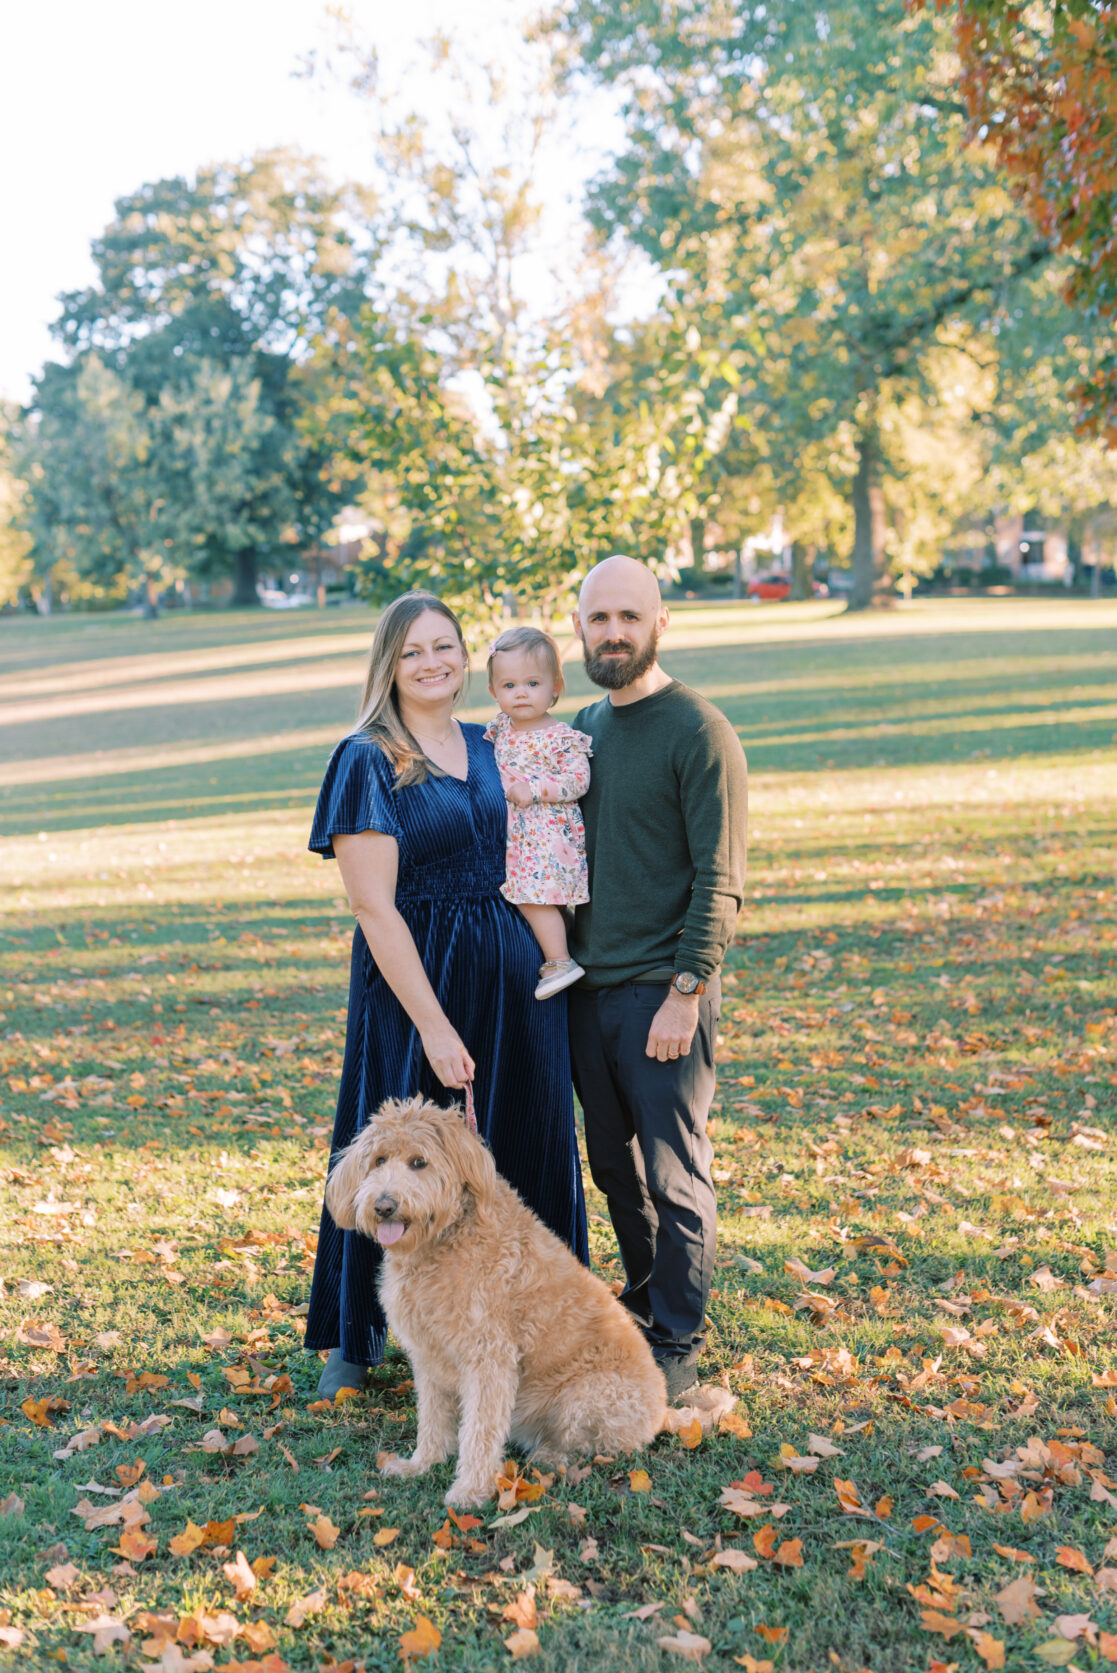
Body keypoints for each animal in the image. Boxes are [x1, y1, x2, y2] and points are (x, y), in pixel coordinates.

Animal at [327, 1097, 668, 1505]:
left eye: (419, 1162)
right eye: (379, 1160)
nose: (383, 1206)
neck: (445, 1239)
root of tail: (664, 1412)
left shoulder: (488, 1358)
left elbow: (480, 1429)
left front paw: (470, 1490)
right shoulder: (428, 1356)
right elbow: (432, 1418)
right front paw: (421, 1464)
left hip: (586, 1397)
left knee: (597, 1448)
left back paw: (550, 1457)